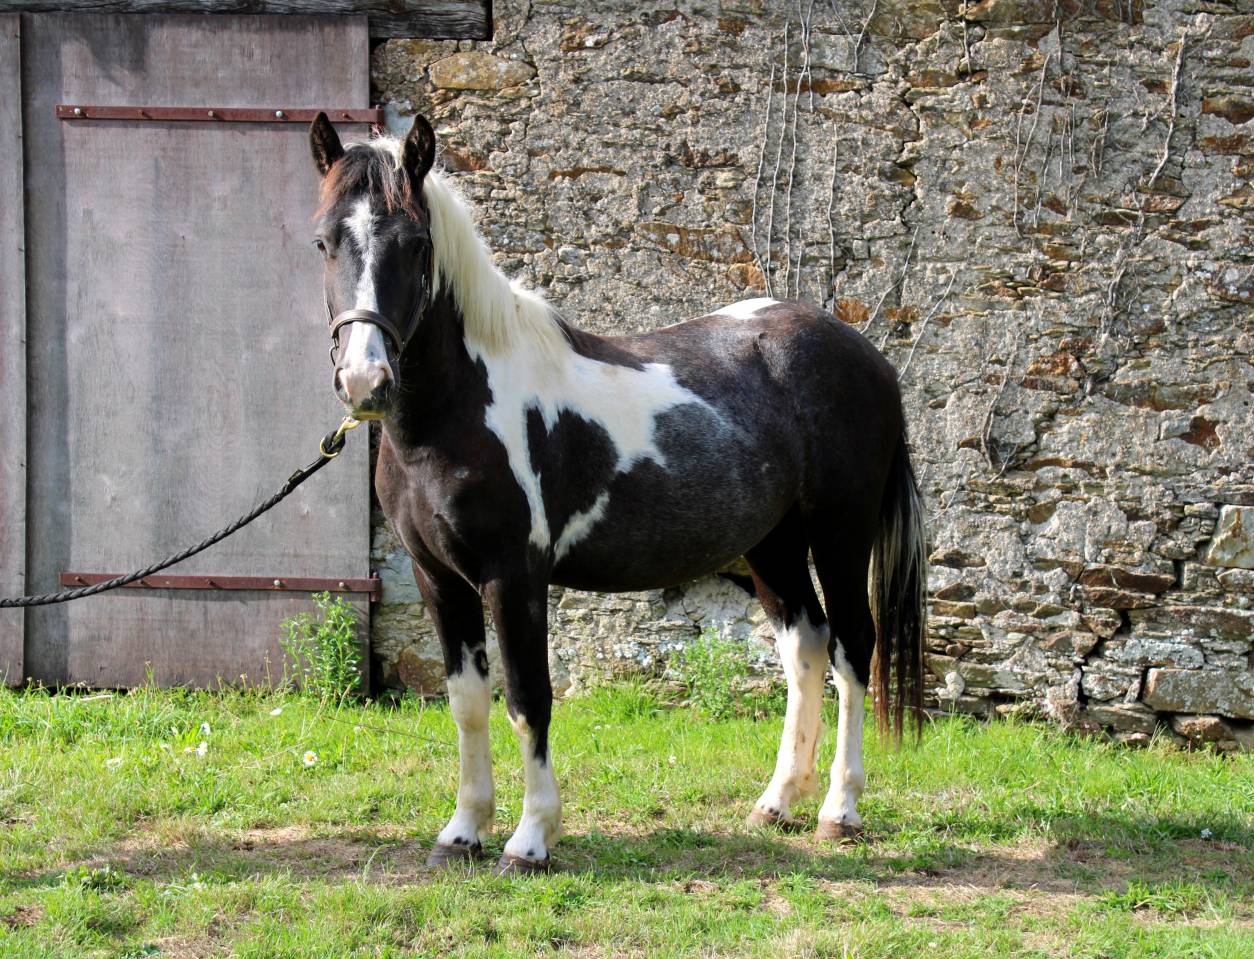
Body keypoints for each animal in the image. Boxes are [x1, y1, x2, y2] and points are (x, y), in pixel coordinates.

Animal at [307, 112, 927, 875]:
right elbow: (467, 703)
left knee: (851, 649)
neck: (457, 413)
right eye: (324, 240)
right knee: (805, 650)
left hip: (841, 536)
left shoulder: (514, 578)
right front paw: (462, 831)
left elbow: (528, 699)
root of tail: (866, 354)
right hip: (773, 547)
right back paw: (777, 802)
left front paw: (531, 839)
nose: (365, 382)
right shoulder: (437, 579)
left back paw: (839, 811)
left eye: (416, 244)